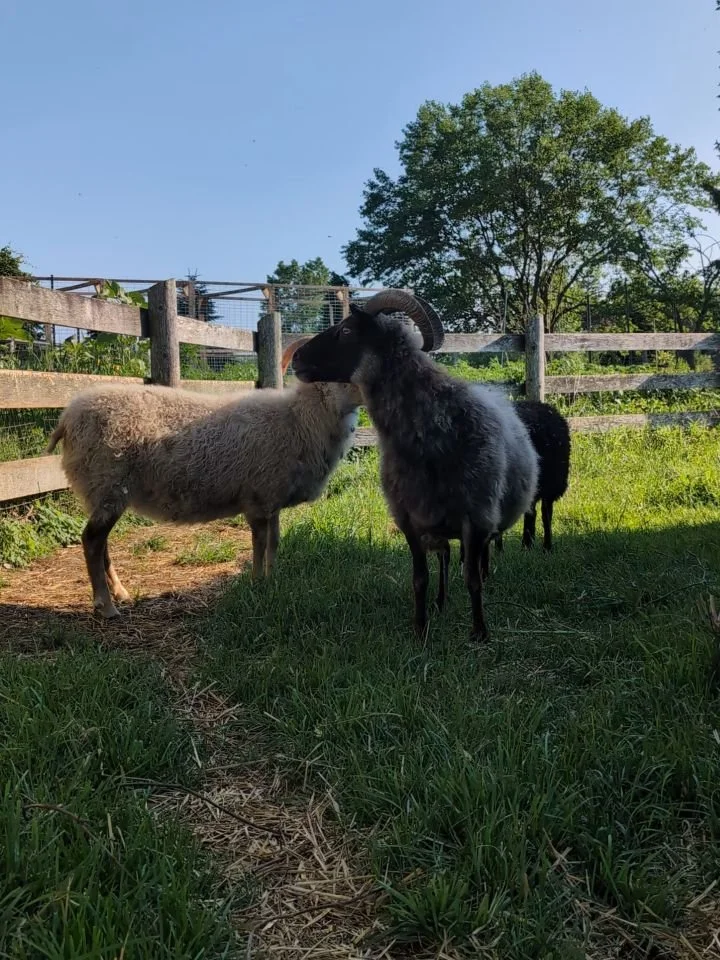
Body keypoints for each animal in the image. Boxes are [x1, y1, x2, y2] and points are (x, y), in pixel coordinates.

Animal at [46, 338, 362, 619]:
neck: (299, 419)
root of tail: (67, 418)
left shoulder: (272, 499)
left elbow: (274, 544)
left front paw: (273, 581)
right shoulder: (258, 498)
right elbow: (259, 545)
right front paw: (257, 584)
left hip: (101, 491)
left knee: (102, 543)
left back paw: (120, 594)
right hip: (108, 482)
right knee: (91, 540)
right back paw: (106, 606)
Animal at [292, 290, 539, 642]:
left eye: (346, 331)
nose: (297, 357)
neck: (431, 425)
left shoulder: (477, 517)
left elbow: (472, 579)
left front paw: (480, 632)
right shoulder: (408, 518)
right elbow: (419, 577)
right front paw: (420, 629)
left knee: (473, 560)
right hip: (437, 521)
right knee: (445, 556)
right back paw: (440, 602)